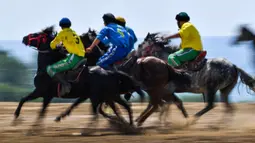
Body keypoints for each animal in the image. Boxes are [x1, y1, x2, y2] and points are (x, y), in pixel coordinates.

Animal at [13, 26, 145, 134]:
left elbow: (33, 106)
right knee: (125, 107)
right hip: (110, 95)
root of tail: (111, 72)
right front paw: (24, 122)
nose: (24, 38)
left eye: (36, 34)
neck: (46, 67)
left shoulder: (43, 93)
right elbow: (33, 106)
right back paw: (129, 126)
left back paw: (89, 130)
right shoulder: (45, 94)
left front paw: (25, 123)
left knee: (97, 114)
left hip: (99, 96)